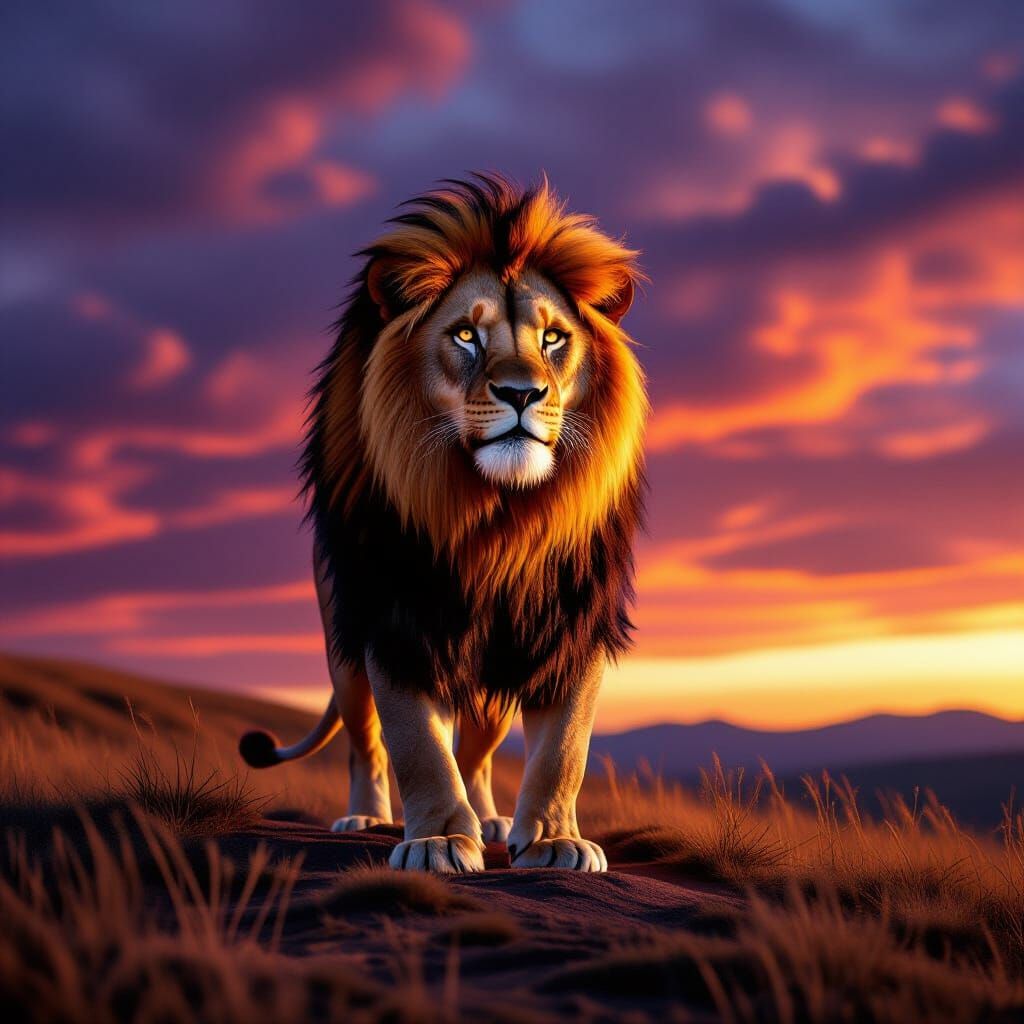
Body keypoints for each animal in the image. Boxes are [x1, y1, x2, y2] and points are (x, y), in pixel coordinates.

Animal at [239, 173, 647, 873]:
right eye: (464, 336)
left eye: (553, 339)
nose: (522, 393)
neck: (496, 520)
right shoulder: (393, 622)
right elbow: (415, 744)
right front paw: (437, 841)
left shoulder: (570, 623)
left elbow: (565, 748)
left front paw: (552, 840)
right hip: (342, 651)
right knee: (366, 744)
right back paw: (366, 817)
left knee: (477, 754)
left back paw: (490, 818)